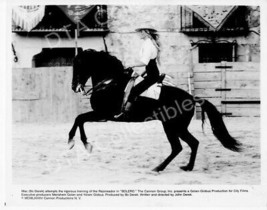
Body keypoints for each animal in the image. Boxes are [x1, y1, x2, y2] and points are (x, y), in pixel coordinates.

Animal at [68, 49, 242, 172]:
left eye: (79, 65)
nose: (74, 87)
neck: (110, 82)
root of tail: (191, 98)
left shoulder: (103, 114)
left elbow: (79, 118)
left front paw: (78, 142)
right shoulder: (102, 115)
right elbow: (79, 119)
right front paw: (79, 142)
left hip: (172, 126)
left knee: (178, 147)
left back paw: (159, 167)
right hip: (177, 127)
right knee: (193, 143)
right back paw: (187, 167)